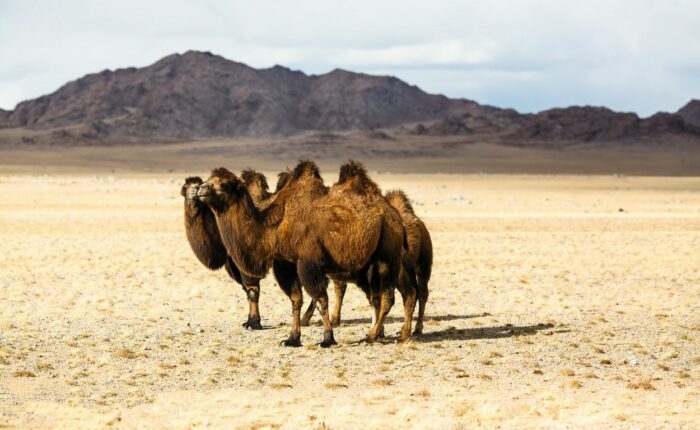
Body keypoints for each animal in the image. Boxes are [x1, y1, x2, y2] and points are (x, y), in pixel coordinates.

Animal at [196, 160, 410, 346]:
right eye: (208, 179)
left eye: (224, 184)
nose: (200, 190)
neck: (275, 226)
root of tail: (394, 215)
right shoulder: (286, 264)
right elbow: (295, 299)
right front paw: (292, 339)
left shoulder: (308, 262)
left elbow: (321, 299)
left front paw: (327, 339)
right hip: (370, 262)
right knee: (375, 296)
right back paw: (378, 334)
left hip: (387, 254)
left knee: (388, 297)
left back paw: (371, 335)